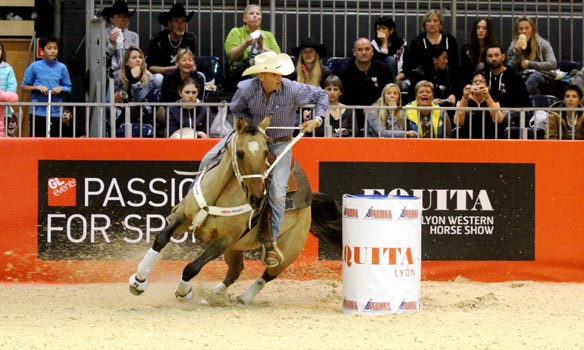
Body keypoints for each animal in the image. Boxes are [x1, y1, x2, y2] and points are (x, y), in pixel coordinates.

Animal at [127, 116, 338, 304]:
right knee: (235, 271)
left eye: (265, 152)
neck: (217, 196)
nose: (257, 198)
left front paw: (184, 292)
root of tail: (310, 196)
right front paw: (138, 281)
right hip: (235, 248)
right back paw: (212, 296)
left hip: (289, 249)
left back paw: (244, 297)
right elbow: (161, 239)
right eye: (240, 153)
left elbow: (192, 267)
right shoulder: (182, 218)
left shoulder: (224, 240)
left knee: (268, 274)